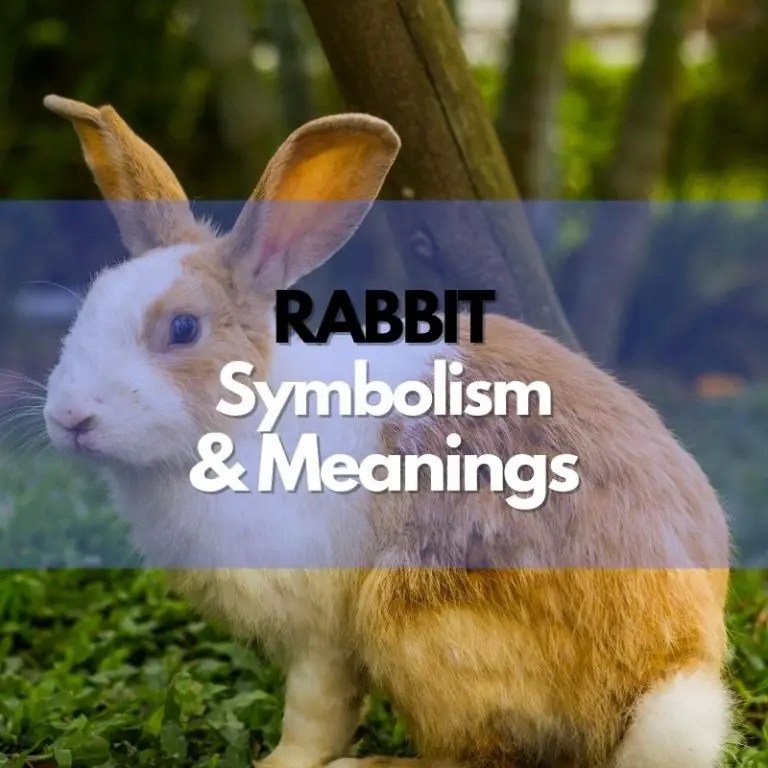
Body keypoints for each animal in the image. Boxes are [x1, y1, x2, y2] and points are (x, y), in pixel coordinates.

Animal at [42, 94, 731, 768]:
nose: (70, 418)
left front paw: (279, 765)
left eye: (183, 328)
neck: (248, 414)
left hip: (416, 622)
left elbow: (315, 713)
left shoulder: (322, 630)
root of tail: (669, 670)